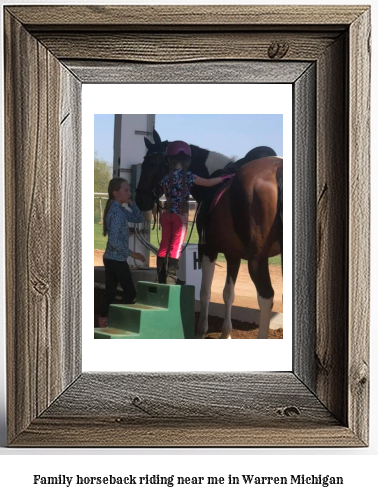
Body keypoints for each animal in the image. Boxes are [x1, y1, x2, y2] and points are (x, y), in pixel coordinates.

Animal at [135, 131, 280, 338]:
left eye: (154, 163)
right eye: (143, 162)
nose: (140, 199)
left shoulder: (208, 249)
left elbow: (205, 291)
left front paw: (202, 330)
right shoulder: (233, 254)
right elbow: (228, 293)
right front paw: (226, 333)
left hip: (257, 260)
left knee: (266, 298)